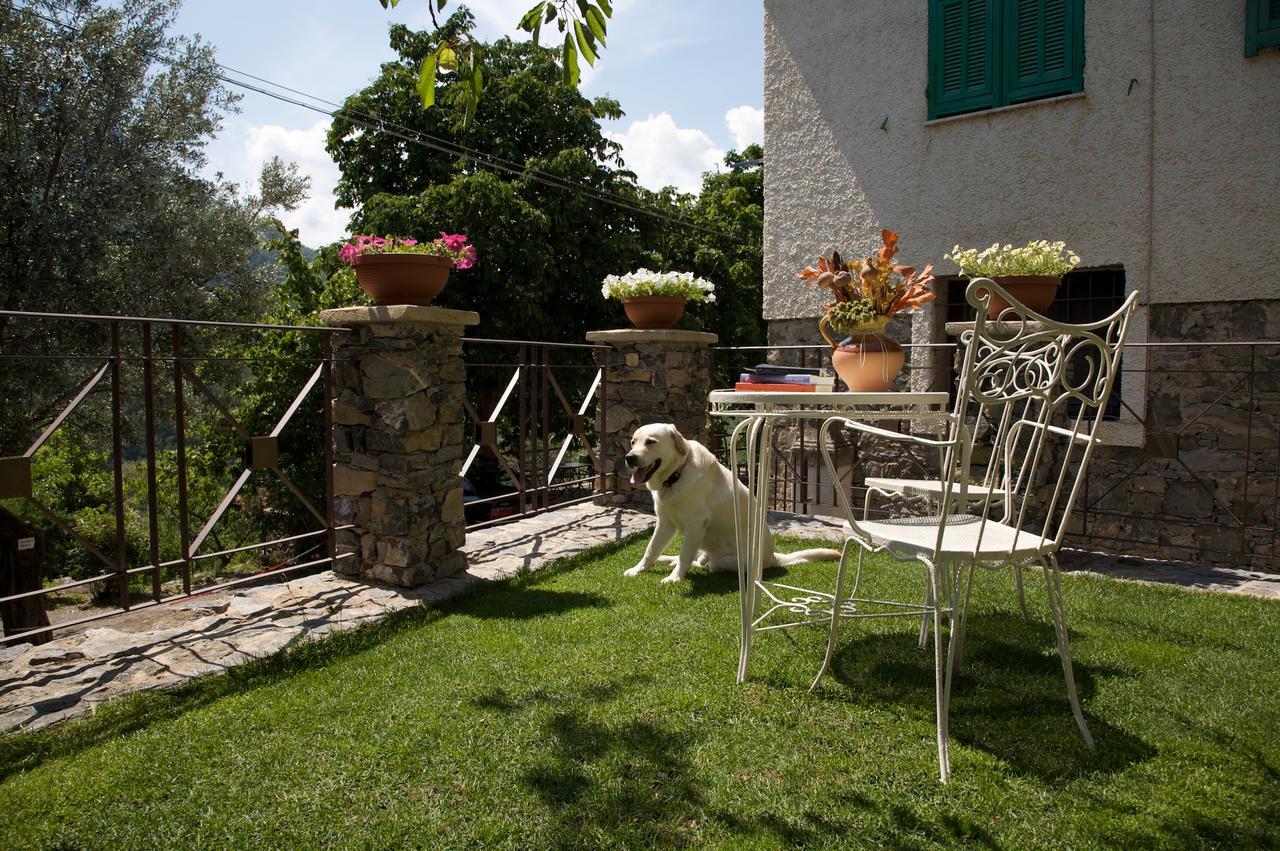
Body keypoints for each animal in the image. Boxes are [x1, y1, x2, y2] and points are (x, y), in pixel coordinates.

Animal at [619, 419, 839, 580]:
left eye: (651, 442)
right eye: (633, 442)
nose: (629, 458)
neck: (676, 475)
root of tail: (773, 558)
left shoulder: (695, 524)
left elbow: (684, 555)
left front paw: (675, 578)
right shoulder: (665, 522)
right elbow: (651, 549)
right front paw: (638, 569)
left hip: (724, 560)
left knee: (703, 563)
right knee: (695, 558)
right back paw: (668, 559)